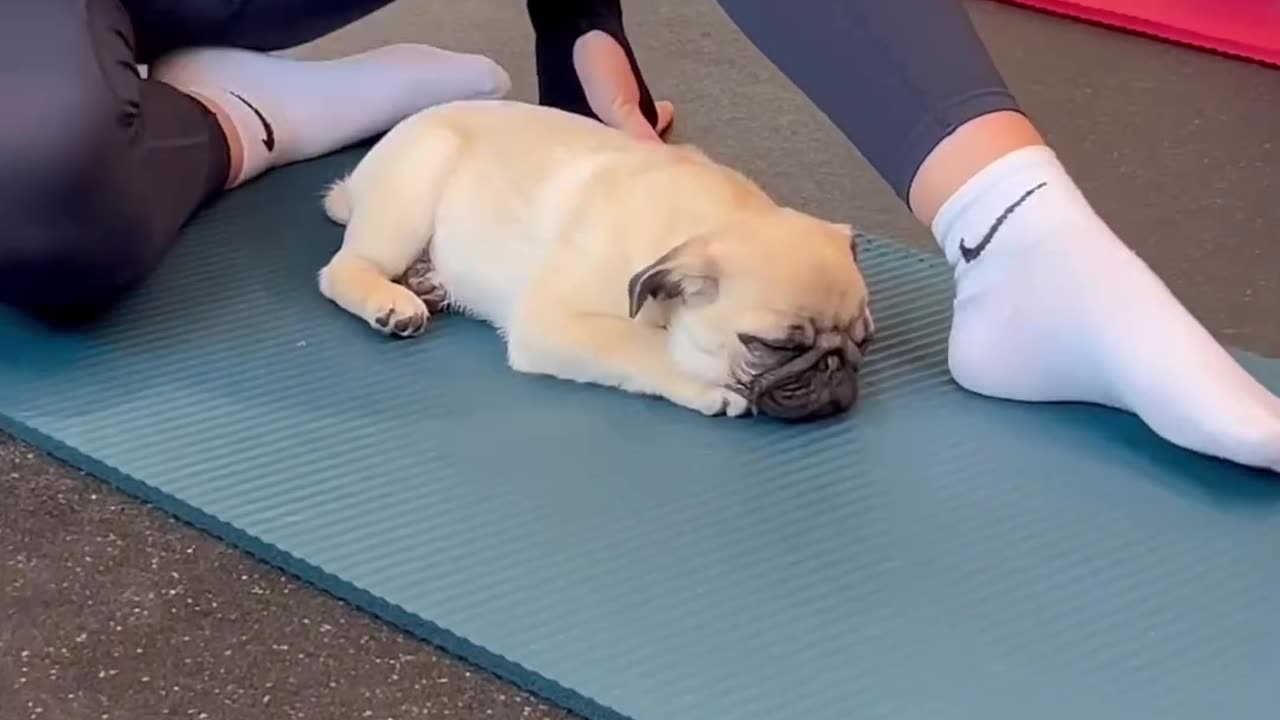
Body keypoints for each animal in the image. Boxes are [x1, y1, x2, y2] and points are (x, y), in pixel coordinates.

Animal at [320, 98, 880, 417]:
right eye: (770, 346)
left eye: (865, 342)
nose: (835, 367)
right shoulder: (553, 323)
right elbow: (641, 346)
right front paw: (702, 382)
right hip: (410, 194)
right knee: (342, 269)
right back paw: (392, 302)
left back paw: (428, 281)